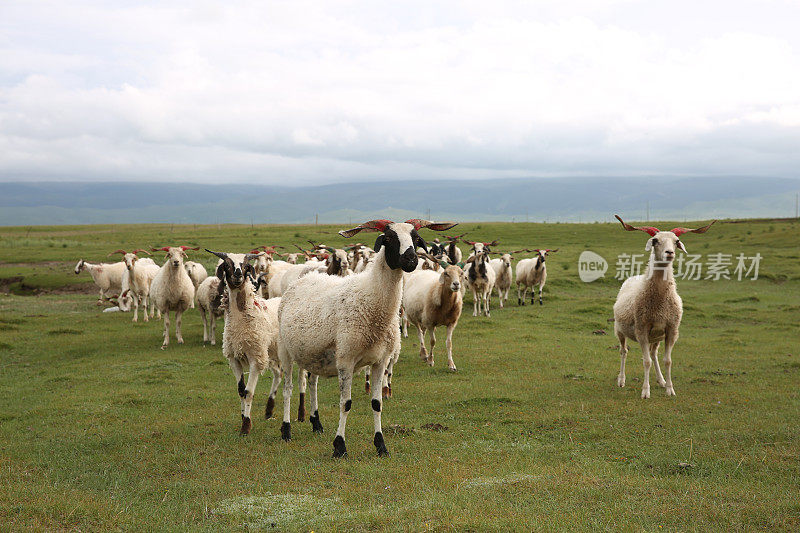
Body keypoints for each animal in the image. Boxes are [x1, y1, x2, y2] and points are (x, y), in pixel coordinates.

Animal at [276, 218, 454, 456]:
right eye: (388, 238)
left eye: (416, 239)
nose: (411, 260)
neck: (371, 299)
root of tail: (305, 279)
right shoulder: (346, 360)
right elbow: (346, 403)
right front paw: (339, 446)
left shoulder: (380, 361)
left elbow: (377, 403)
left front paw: (381, 445)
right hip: (285, 351)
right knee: (287, 389)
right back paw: (286, 431)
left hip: (314, 353)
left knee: (312, 384)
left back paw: (316, 423)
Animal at [608, 214, 716, 396]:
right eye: (655, 240)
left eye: (676, 241)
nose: (669, 253)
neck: (659, 303)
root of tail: (635, 277)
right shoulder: (641, 329)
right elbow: (646, 362)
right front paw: (645, 392)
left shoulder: (671, 329)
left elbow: (667, 361)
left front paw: (670, 389)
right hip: (620, 330)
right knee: (624, 351)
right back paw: (621, 380)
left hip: (656, 336)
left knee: (654, 354)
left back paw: (661, 380)